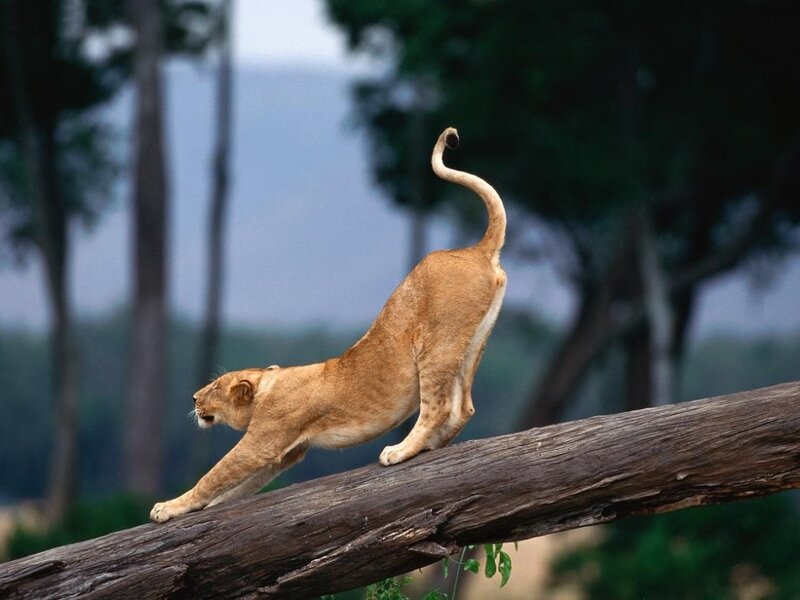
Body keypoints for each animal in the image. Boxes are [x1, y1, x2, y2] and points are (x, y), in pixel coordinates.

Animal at [150, 127, 506, 522]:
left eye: (214, 387)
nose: (194, 398)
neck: (268, 386)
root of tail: (476, 249)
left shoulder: (264, 440)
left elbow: (214, 476)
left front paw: (168, 507)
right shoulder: (286, 452)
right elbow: (236, 488)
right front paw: (205, 506)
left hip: (436, 343)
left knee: (439, 406)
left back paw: (400, 451)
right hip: (474, 341)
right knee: (463, 407)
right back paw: (429, 446)